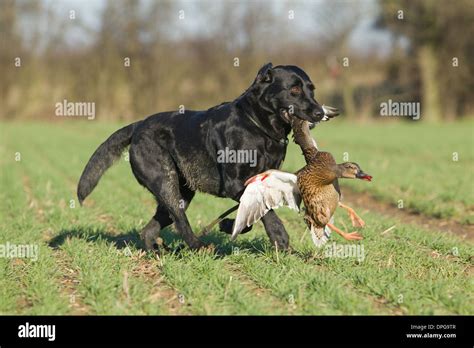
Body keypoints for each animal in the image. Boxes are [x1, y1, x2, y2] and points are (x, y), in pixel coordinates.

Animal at [77, 63, 336, 253]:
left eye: (312, 89)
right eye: (294, 90)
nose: (319, 113)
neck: (257, 125)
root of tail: (138, 125)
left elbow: (253, 212)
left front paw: (228, 225)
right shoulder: (235, 183)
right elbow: (265, 211)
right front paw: (279, 237)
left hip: (182, 191)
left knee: (151, 229)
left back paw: (157, 252)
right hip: (166, 182)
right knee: (180, 219)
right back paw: (198, 246)